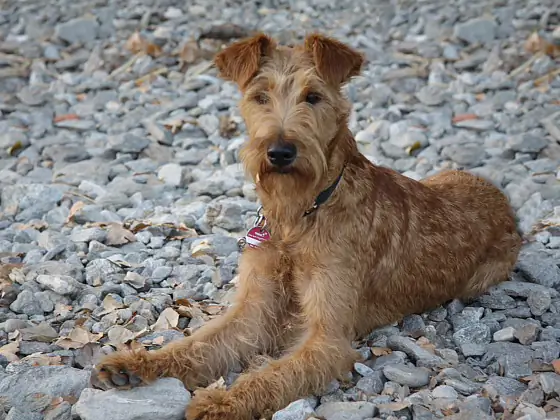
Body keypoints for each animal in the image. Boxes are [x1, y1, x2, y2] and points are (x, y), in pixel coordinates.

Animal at [93, 33, 524, 420]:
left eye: (313, 97)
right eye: (260, 96)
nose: (280, 152)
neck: (296, 217)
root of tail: (502, 200)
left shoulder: (326, 337)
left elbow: (274, 375)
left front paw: (222, 403)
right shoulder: (253, 311)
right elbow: (196, 344)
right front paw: (138, 363)